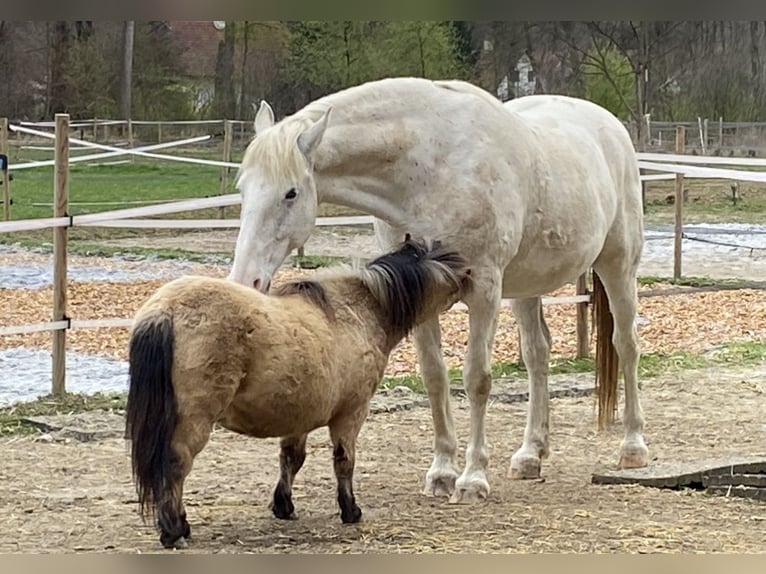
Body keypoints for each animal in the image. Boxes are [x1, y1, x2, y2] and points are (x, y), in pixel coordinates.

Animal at [125, 237, 472, 548]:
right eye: (448, 262)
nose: (470, 275)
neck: (358, 311)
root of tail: (164, 312)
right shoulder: (351, 413)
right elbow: (344, 461)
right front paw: (350, 510)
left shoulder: (299, 415)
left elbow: (292, 459)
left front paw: (284, 505)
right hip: (194, 421)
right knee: (176, 464)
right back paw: (175, 530)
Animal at [226, 76, 648, 504]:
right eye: (243, 188)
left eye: (291, 192)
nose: (247, 281)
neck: (431, 168)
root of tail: (610, 126)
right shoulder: (423, 294)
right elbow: (434, 377)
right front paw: (442, 472)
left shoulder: (484, 289)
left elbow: (477, 379)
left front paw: (473, 478)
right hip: (526, 286)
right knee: (537, 354)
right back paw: (531, 455)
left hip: (618, 266)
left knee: (626, 345)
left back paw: (632, 447)